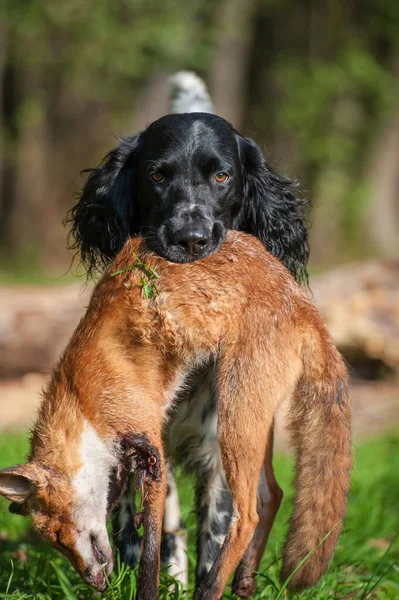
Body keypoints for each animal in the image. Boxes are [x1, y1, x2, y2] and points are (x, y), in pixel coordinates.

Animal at [0, 231, 350, 600]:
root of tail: (304, 304)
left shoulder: (151, 448)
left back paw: (210, 589)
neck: (82, 402)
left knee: (247, 516)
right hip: (253, 422)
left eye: (58, 532)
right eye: (55, 543)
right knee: (273, 494)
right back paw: (245, 580)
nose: (95, 583)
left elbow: (151, 556)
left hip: (233, 421)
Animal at [67, 72, 310, 592]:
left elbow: (218, 539)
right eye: (157, 176)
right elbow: (144, 529)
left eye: (222, 176)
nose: (191, 239)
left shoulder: (221, 450)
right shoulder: (136, 442)